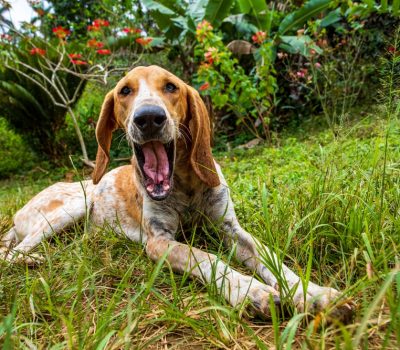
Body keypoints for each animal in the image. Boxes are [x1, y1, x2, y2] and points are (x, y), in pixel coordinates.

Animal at [0, 64, 354, 322]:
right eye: (125, 90)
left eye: (170, 87)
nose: (149, 118)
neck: (184, 185)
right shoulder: (159, 241)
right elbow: (206, 258)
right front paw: (251, 292)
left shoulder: (232, 229)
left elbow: (273, 258)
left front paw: (313, 293)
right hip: (71, 208)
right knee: (12, 252)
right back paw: (33, 259)